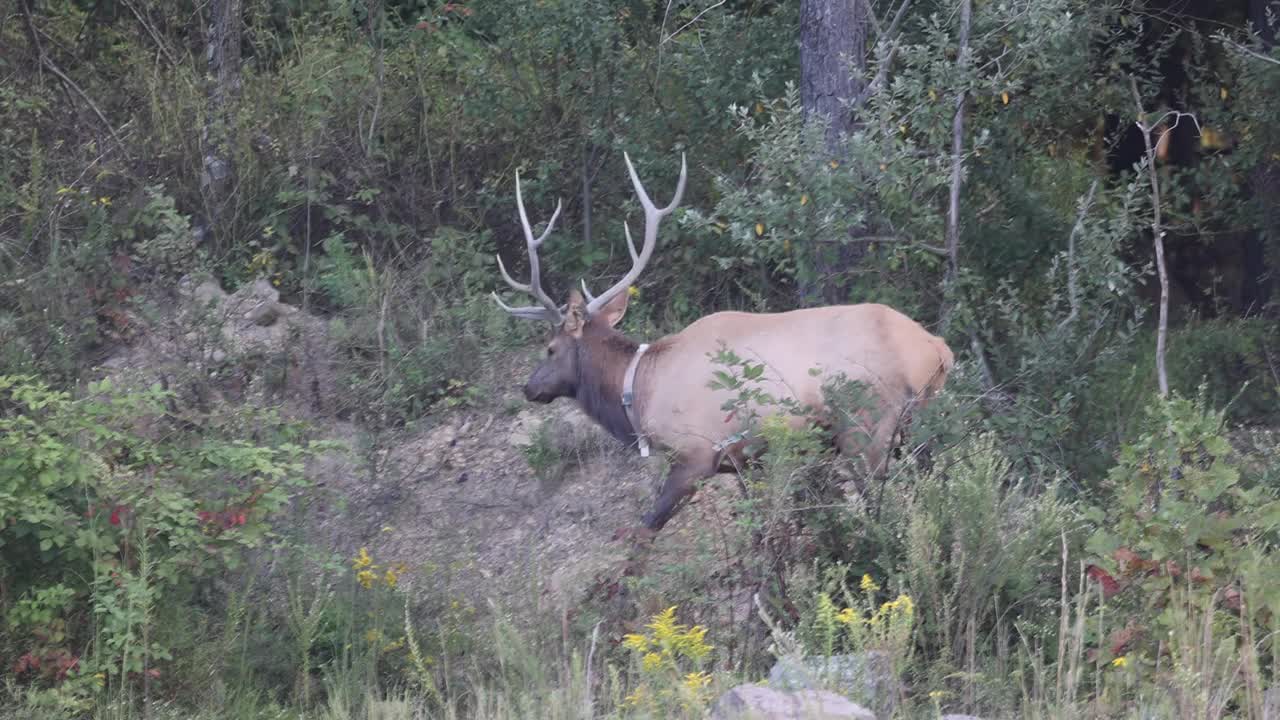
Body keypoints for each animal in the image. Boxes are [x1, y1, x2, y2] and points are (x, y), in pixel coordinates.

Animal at [494, 151, 957, 530]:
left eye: (550, 348)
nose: (528, 387)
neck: (637, 390)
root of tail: (938, 348)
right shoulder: (746, 462)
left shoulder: (696, 454)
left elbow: (645, 530)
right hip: (919, 424)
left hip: (867, 425)